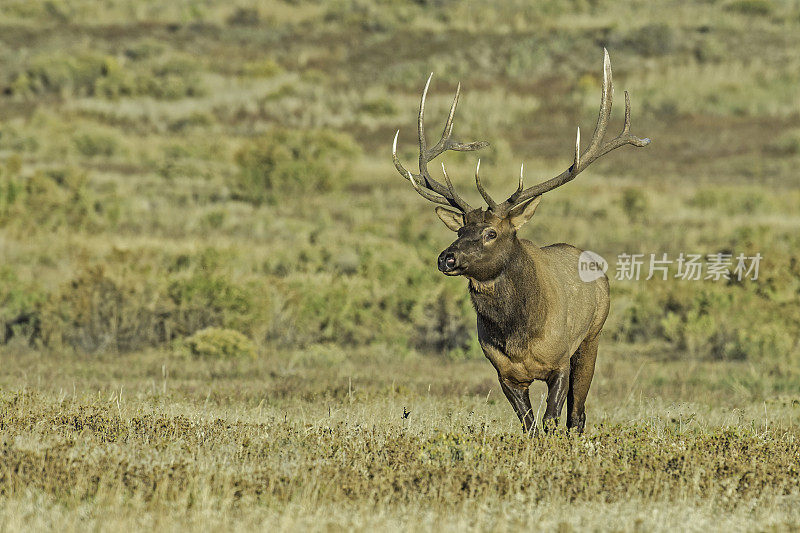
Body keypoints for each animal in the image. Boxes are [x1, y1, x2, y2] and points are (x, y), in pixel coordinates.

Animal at [394, 48, 648, 432]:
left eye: (491, 232)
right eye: (459, 231)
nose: (446, 258)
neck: (517, 337)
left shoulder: (559, 361)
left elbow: (552, 421)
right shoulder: (505, 374)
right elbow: (529, 427)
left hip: (592, 337)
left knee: (578, 415)